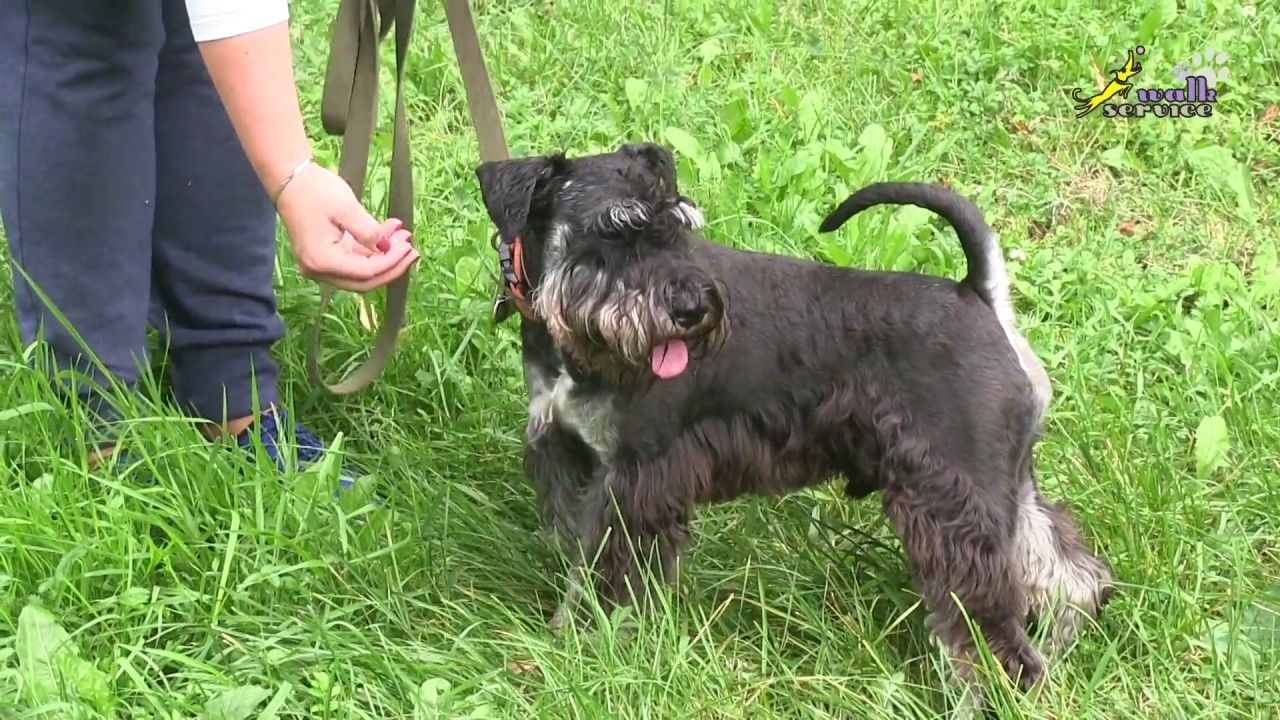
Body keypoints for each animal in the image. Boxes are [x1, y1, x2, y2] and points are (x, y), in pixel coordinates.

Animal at [476, 140, 1116, 702]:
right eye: (612, 231)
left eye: (678, 226)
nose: (693, 308)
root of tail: (980, 298)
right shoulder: (569, 455)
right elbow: (573, 546)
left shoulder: (634, 479)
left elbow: (605, 576)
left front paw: (587, 639)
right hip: (1001, 484)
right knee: (1066, 571)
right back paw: (1062, 642)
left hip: (953, 501)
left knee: (990, 625)